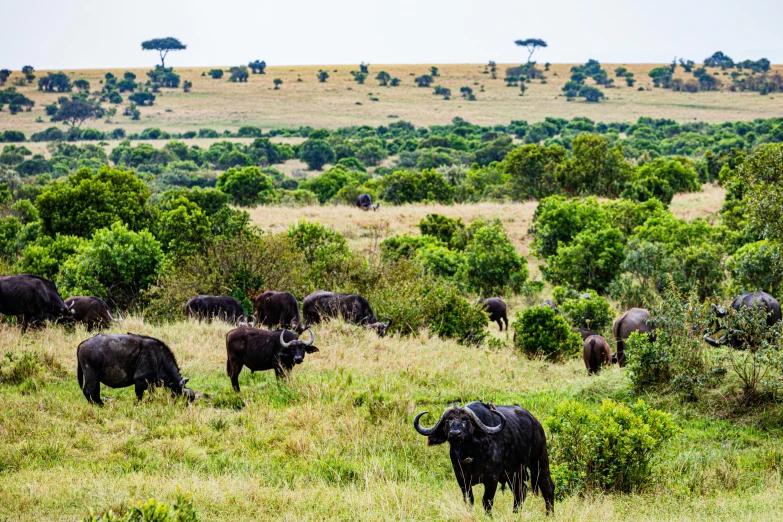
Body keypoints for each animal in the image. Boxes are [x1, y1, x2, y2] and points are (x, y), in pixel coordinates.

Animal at [414, 400, 556, 512]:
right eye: (448, 420)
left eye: (466, 420)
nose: (455, 433)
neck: (470, 454)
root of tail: (535, 423)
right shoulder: (462, 478)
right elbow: (469, 500)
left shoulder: (492, 478)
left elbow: (486, 501)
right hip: (514, 473)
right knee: (520, 491)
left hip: (539, 461)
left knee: (547, 487)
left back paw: (549, 514)